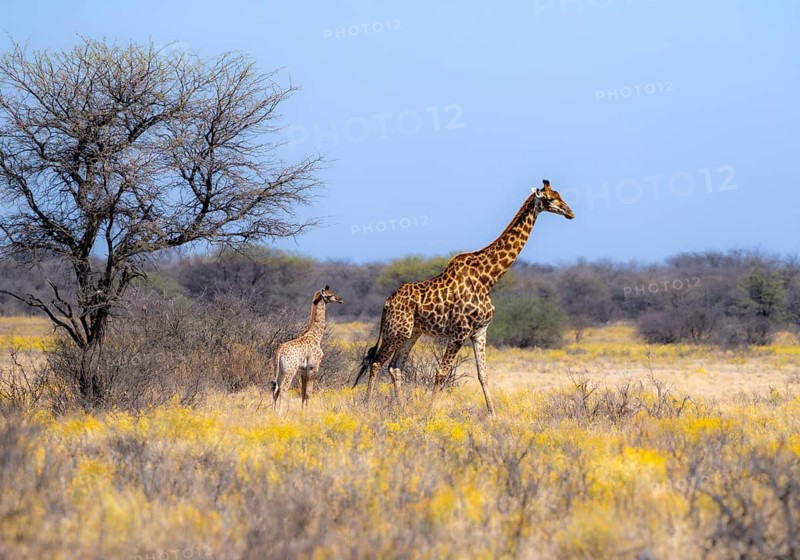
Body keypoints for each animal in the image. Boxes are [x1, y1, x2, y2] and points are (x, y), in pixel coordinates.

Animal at [353, 180, 574, 415]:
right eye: (550, 198)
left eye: (559, 195)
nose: (570, 212)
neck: (487, 279)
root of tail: (387, 303)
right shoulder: (459, 333)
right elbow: (441, 373)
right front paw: (430, 413)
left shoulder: (480, 332)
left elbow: (483, 374)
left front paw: (493, 414)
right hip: (397, 331)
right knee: (377, 362)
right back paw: (368, 406)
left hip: (412, 333)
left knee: (395, 367)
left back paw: (402, 408)